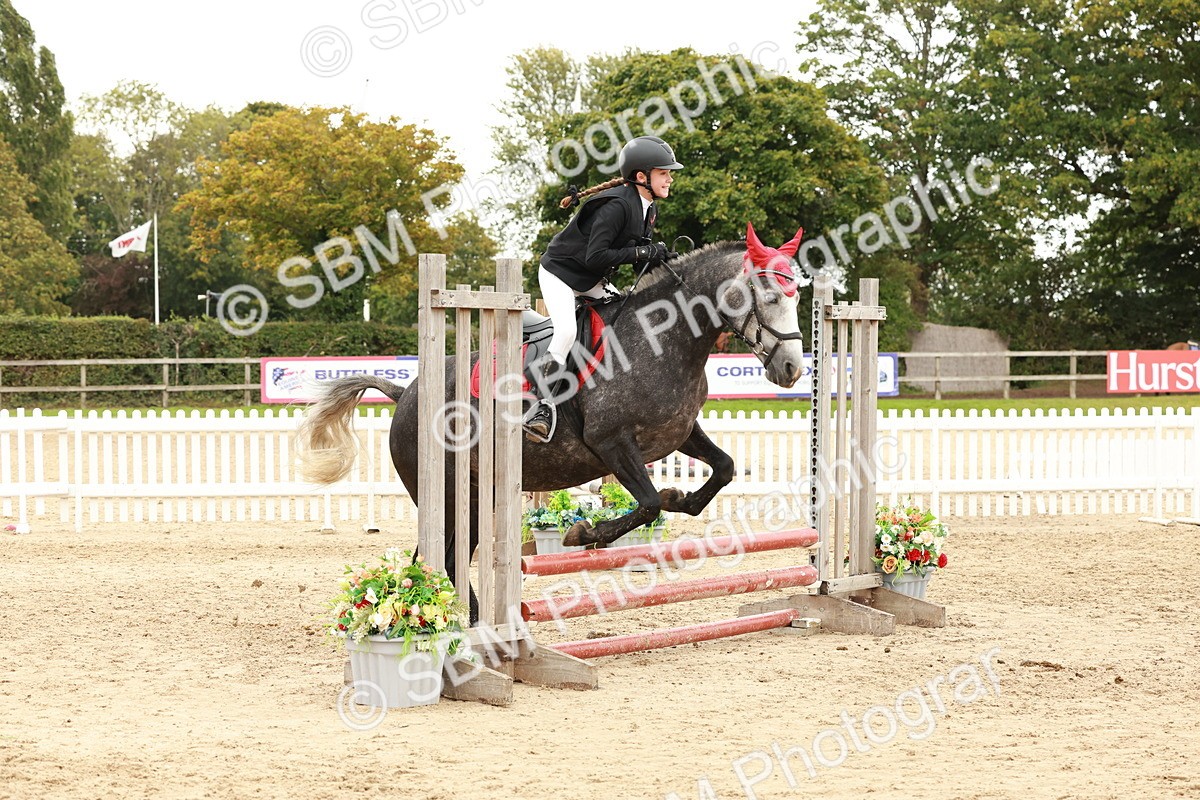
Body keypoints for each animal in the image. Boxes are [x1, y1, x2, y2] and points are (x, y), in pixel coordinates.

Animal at [295, 224, 808, 609]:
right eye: (770, 296)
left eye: (798, 297)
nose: (791, 369)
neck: (665, 338)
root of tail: (404, 395)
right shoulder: (611, 443)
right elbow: (646, 503)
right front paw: (585, 533)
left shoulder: (677, 434)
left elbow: (720, 471)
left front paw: (679, 495)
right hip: (442, 492)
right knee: (439, 559)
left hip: (476, 496)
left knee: (442, 559)